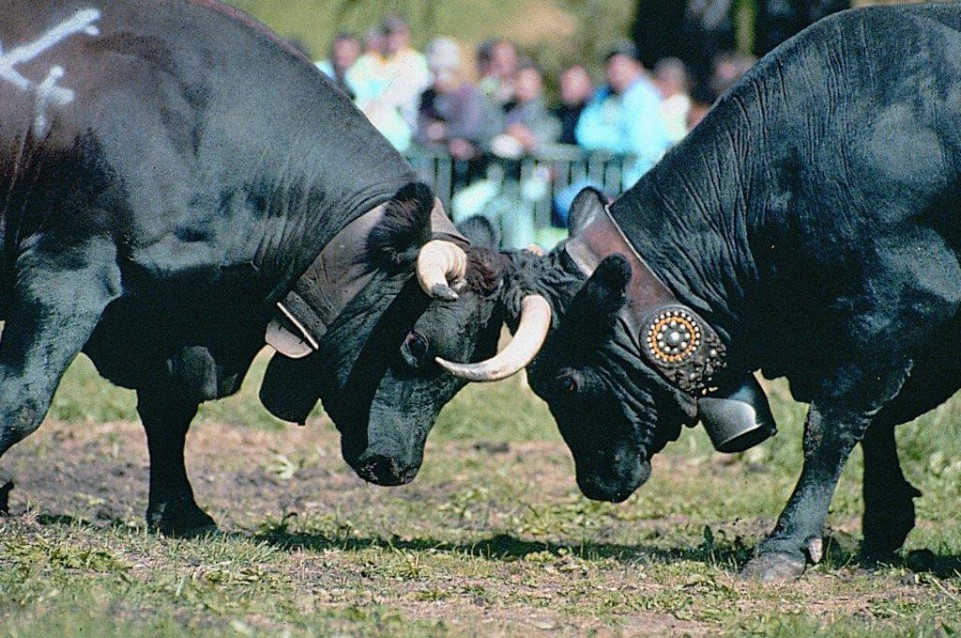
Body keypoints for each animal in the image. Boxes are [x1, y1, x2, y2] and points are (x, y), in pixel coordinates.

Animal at [0, 0, 496, 536]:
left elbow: (169, 409)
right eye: (416, 343)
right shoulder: (64, 270)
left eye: (458, 380)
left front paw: (181, 511)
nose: (397, 468)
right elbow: (22, 397)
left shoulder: (173, 319)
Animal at [388, 3, 960, 584]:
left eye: (562, 383)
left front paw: (785, 545)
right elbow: (877, 422)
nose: (593, 482)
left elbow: (832, 426)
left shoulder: (898, 303)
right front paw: (884, 524)